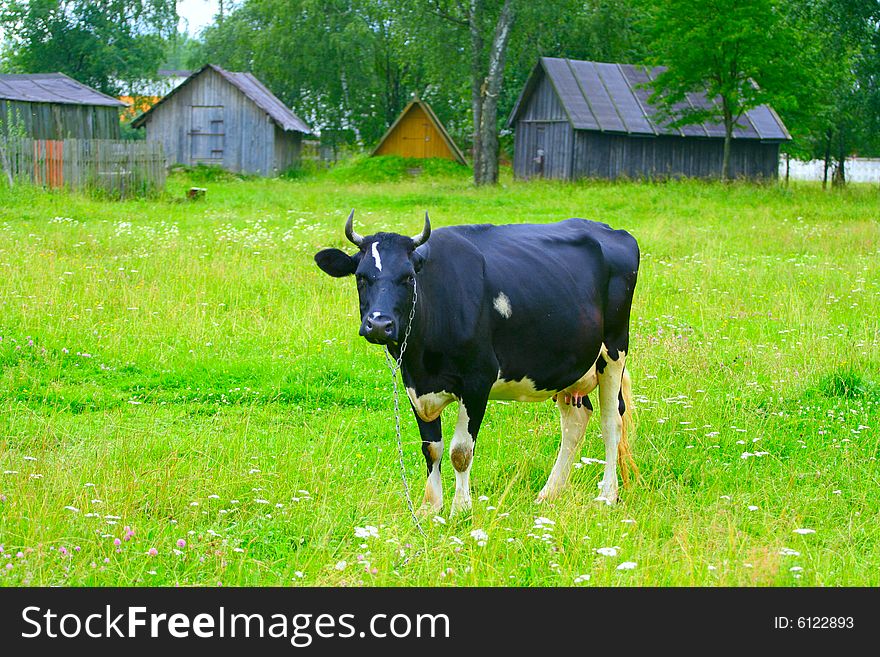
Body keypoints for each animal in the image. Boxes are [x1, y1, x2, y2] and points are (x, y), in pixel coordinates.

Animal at [316, 213, 640, 516]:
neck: (422, 359)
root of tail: (609, 230)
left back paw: (607, 495)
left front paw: (461, 509)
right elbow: (431, 449)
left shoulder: (477, 381)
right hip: (567, 366)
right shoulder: (414, 386)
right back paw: (549, 494)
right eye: (361, 277)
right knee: (575, 421)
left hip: (614, 350)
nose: (379, 325)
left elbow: (460, 452)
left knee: (611, 422)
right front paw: (429, 508)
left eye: (408, 277)